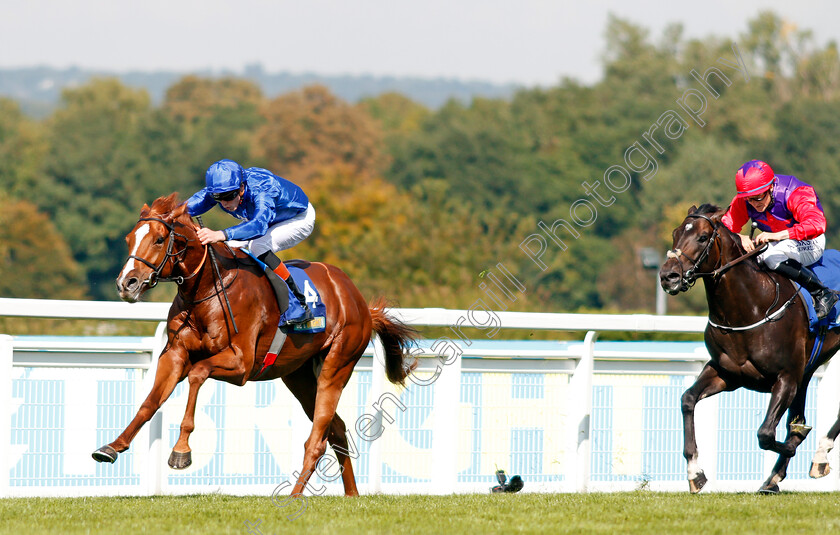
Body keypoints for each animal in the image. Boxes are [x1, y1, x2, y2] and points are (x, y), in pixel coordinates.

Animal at [92, 194, 416, 498]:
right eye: (129, 239)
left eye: (159, 239)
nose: (127, 283)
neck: (208, 288)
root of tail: (359, 301)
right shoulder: (174, 354)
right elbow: (150, 402)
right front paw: (112, 446)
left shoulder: (241, 364)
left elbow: (197, 373)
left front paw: (181, 451)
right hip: (299, 377)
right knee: (335, 430)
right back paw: (351, 495)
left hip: (337, 365)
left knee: (317, 438)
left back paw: (294, 495)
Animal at [664, 204, 840, 494]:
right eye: (675, 233)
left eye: (702, 237)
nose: (668, 276)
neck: (751, 307)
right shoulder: (728, 374)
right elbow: (687, 399)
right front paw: (695, 472)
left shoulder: (786, 377)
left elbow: (766, 434)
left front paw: (796, 441)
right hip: (806, 370)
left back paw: (820, 455)